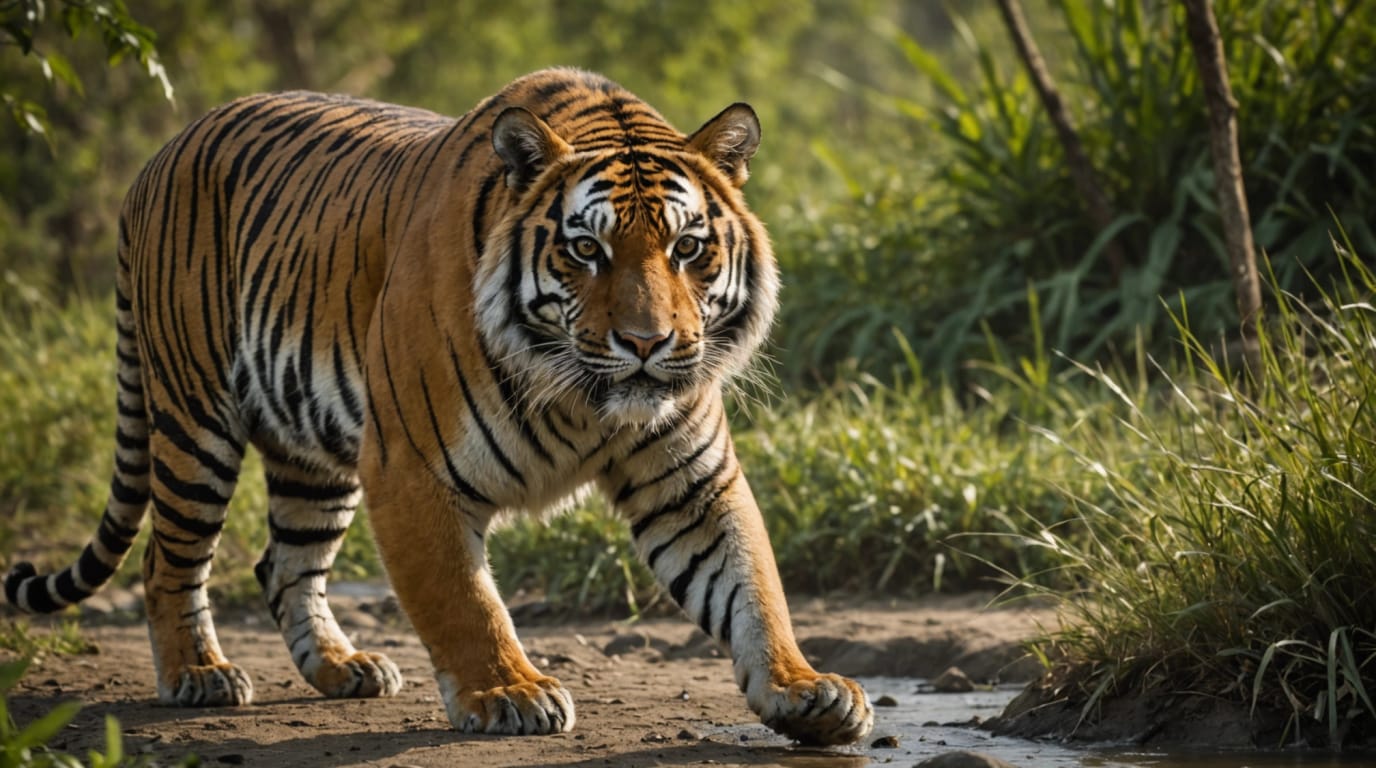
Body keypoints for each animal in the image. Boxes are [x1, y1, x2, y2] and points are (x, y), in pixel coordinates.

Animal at [3, 68, 873, 744]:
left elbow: (750, 585)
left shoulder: (690, 481)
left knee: (286, 562)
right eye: (585, 249)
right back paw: (201, 674)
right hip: (194, 420)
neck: (584, 397)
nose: (646, 343)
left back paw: (342, 667)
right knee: (169, 560)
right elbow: (464, 599)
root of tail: (162, 152)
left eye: (688, 248)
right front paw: (510, 692)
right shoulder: (410, 467)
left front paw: (806, 689)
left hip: (314, 452)